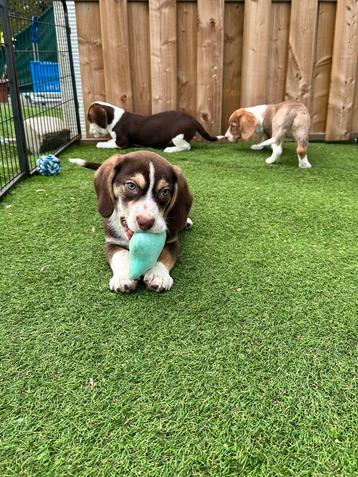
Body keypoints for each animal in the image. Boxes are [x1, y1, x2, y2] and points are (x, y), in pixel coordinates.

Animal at [70, 151, 193, 292]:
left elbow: (165, 255)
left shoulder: (172, 241)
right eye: (131, 186)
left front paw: (158, 275)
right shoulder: (111, 242)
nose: (146, 222)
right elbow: (121, 254)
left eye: (165, 192)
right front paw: (123, 277)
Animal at [87, 100, 224, 152]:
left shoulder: (122, 142)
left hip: (178, 136)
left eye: (90, 118)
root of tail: (193, 119)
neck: (113, 118)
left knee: (187, 146)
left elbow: (107, 143)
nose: (89, 132)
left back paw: (170, 149)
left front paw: (100, 143)